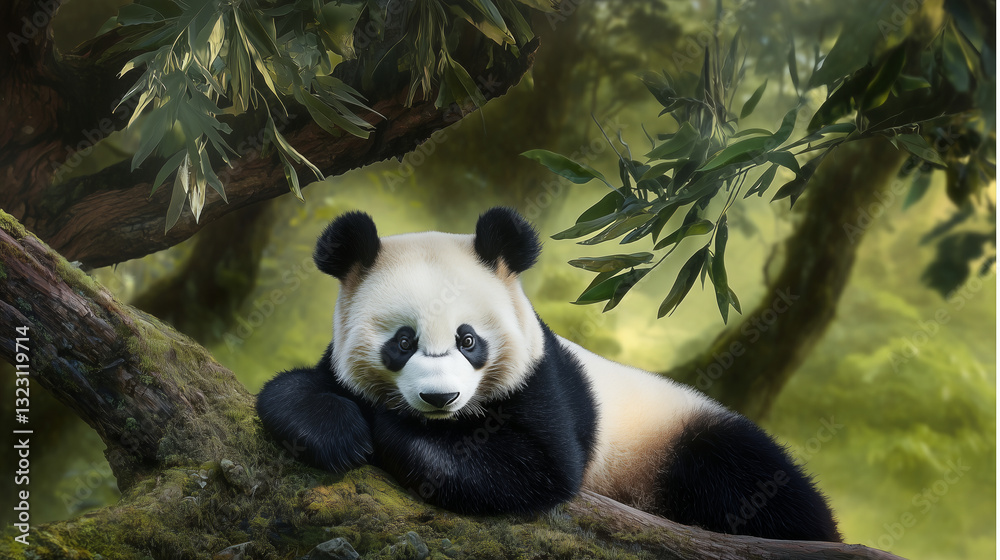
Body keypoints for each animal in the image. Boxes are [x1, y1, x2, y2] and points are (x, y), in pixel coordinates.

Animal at [256, 207, 840, 542]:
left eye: (468, 340)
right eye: (403, 341)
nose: (439, 398)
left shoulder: (542, 382)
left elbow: (532, 468)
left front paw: (384, 428)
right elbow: (294, 391)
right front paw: (338, 431)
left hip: (685, 439)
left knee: (759, 484)